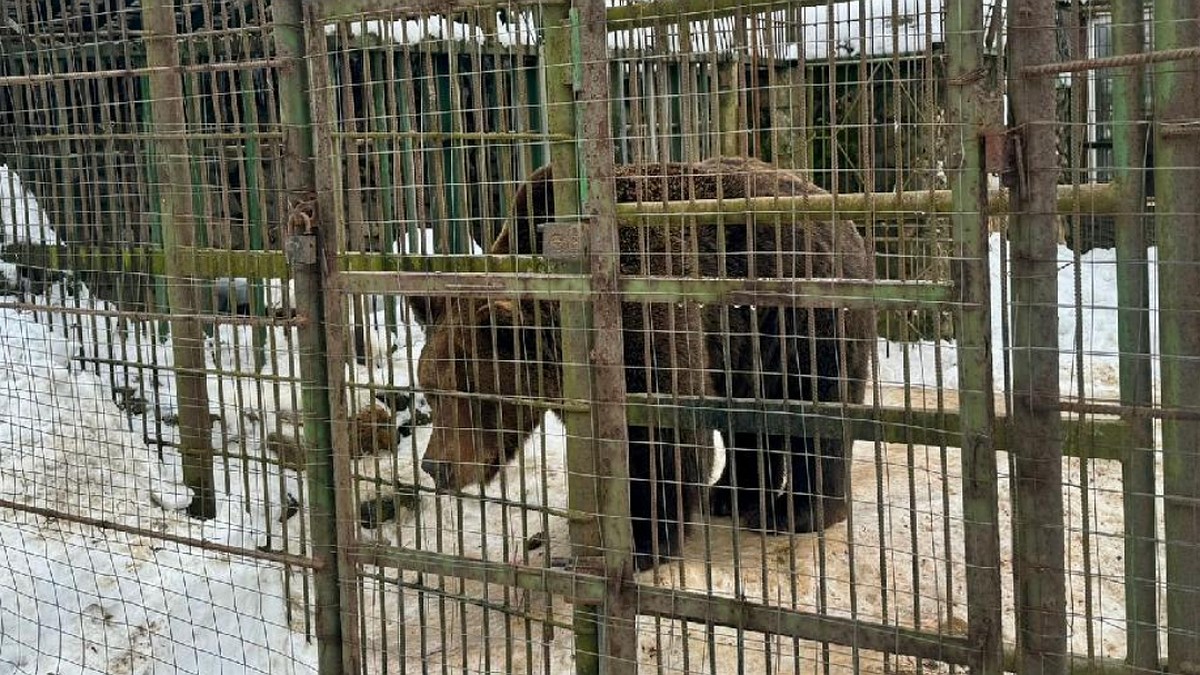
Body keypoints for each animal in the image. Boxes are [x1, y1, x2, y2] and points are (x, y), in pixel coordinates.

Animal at [496, 154, 873, 533]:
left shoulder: (645, 298)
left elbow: (666, 429)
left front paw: (648, 531)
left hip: (808, 310)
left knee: (815, 405)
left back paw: (795, 512)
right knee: (751, 414)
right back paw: (729, 497)